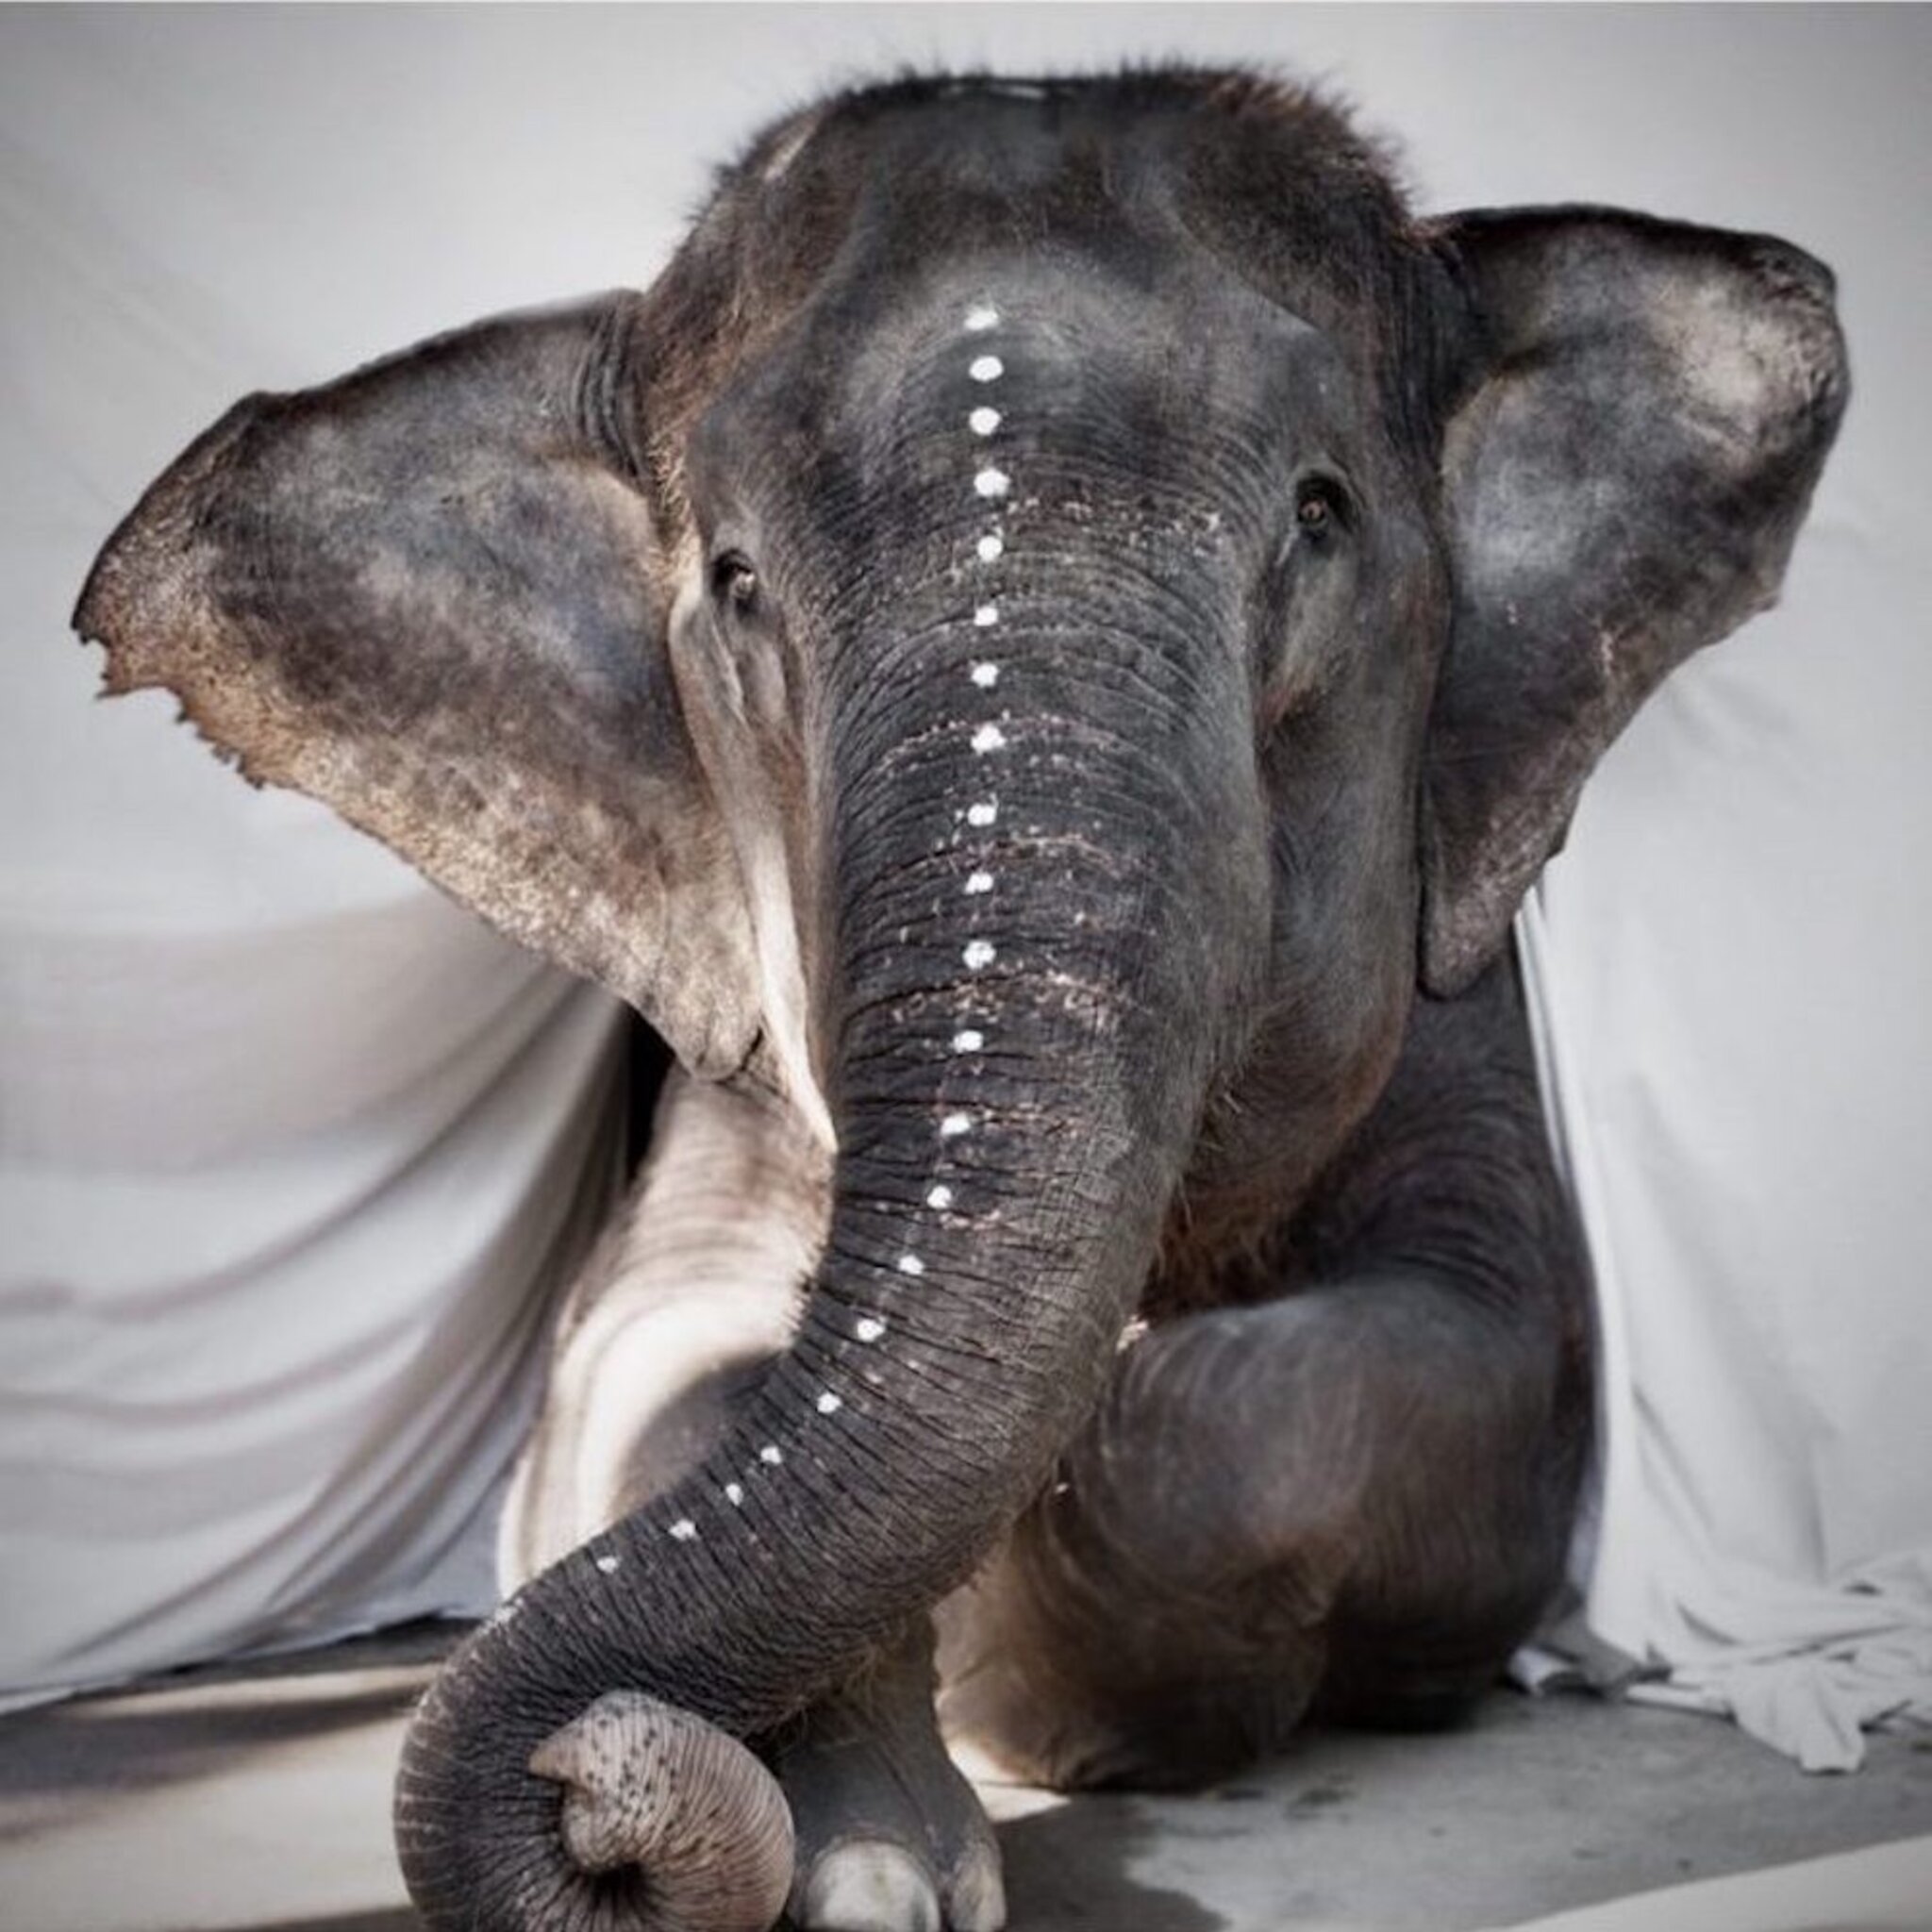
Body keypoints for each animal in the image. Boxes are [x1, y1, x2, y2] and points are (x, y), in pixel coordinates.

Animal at [73, 66, 1846, 1932]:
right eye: (737, 583)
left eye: (1318, 514)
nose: (586, 1793)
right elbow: (641, 1367)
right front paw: (866, 1870)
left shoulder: (1467, 1022)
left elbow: (1439, 1358)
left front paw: (1038, 1683)